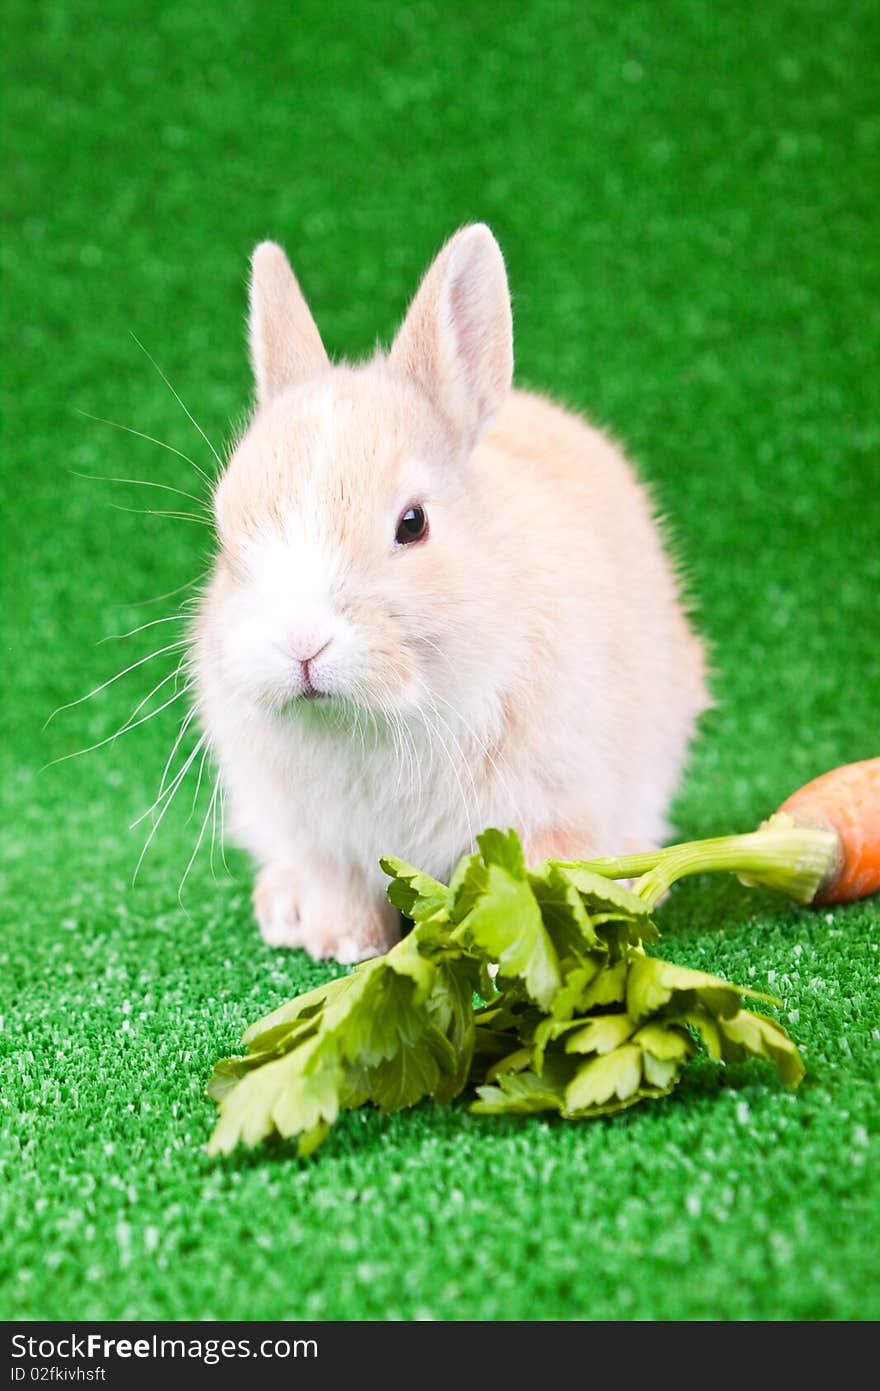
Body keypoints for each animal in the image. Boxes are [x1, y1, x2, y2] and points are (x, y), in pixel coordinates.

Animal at [190, 222, 706, 962]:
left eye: (413, 524)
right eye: (226, 531)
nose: (300, 644)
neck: (374, 717)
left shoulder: (553, 806)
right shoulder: (319, 840)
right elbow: (338, 884)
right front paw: (342, 944)